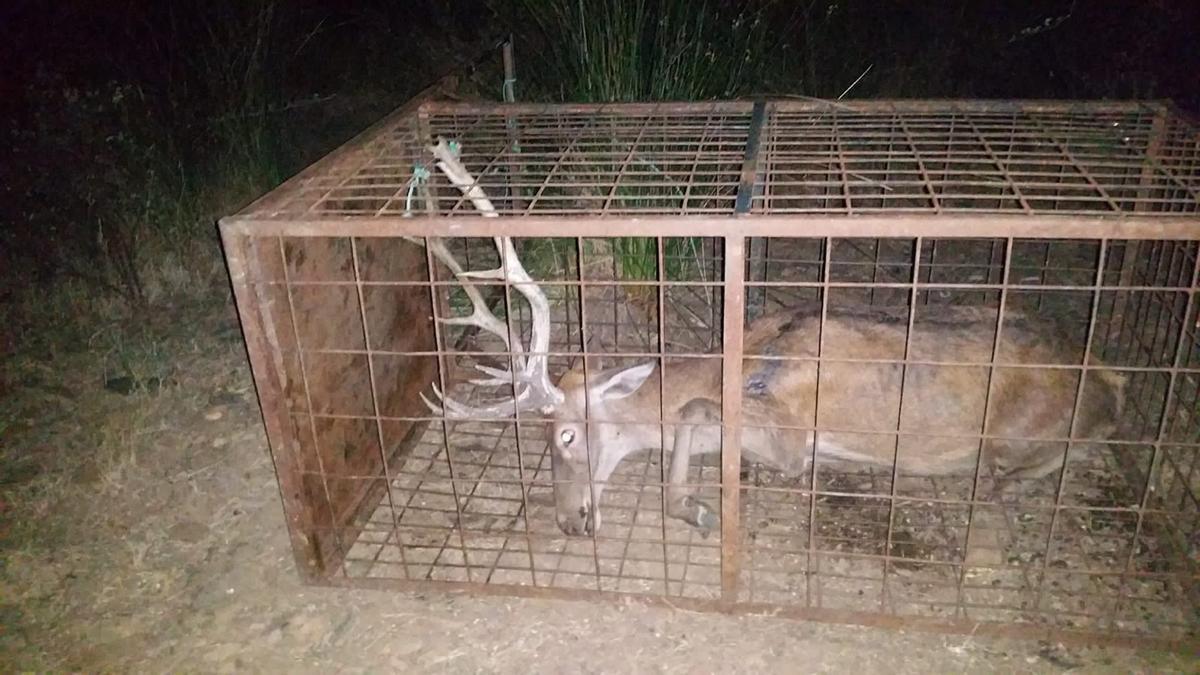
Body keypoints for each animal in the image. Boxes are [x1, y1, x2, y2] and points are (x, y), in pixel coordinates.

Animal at [417, 138, 1128, 535]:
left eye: (564, 436)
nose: (568, 521)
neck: (739, 359)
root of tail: (1106, 372)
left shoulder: (789, 441)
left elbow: (696, 413)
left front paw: (693, 508)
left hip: (1029, 429)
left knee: (1087, 441)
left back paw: (1007, 485)